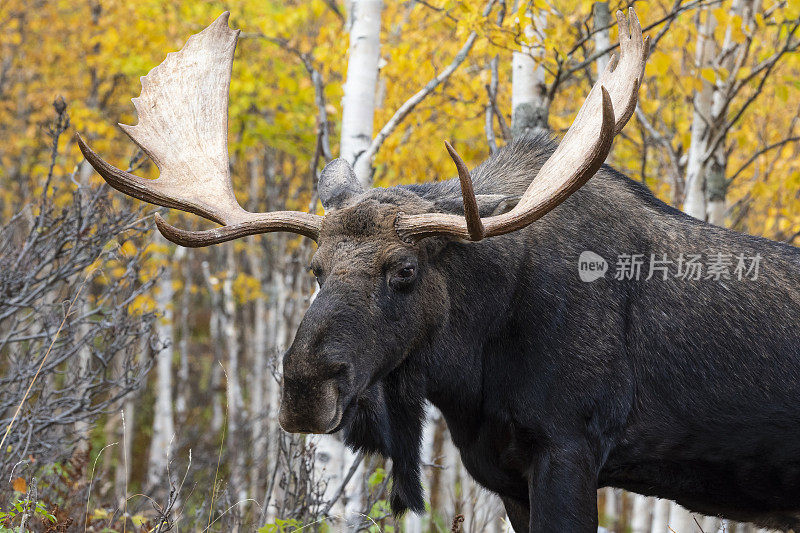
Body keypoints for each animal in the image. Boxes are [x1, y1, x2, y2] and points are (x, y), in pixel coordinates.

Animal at [76, 9, 800, 532]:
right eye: (314, 268)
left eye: (403, 269)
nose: (304, 386)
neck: (472, 369)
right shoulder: (505, 473)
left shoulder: (570, 447)